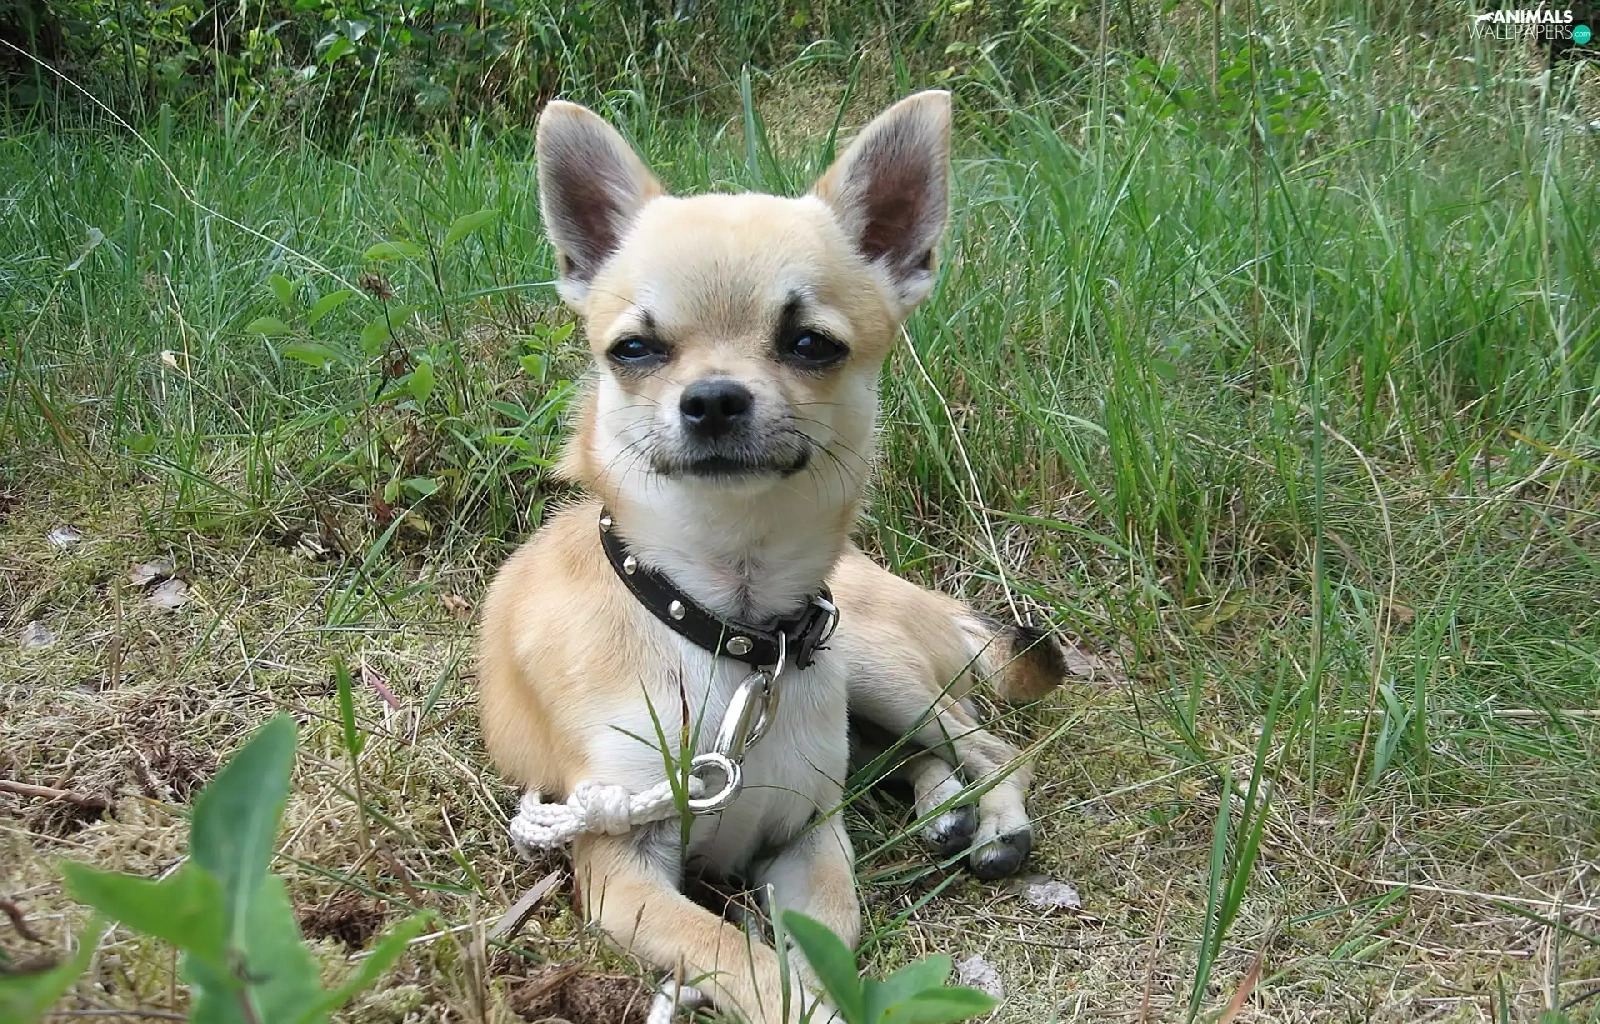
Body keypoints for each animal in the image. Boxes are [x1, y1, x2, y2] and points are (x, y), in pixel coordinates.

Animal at [478, 90, 1066, 1023]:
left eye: (811, 344)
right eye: (633, 350)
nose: (714, 398)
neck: (726, 627)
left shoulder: (808, 838)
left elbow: (822, 940)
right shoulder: (623, 868)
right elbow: (741, 955)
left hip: (874, 666)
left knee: (990, 746)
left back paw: (990, 817)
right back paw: (945, 808)